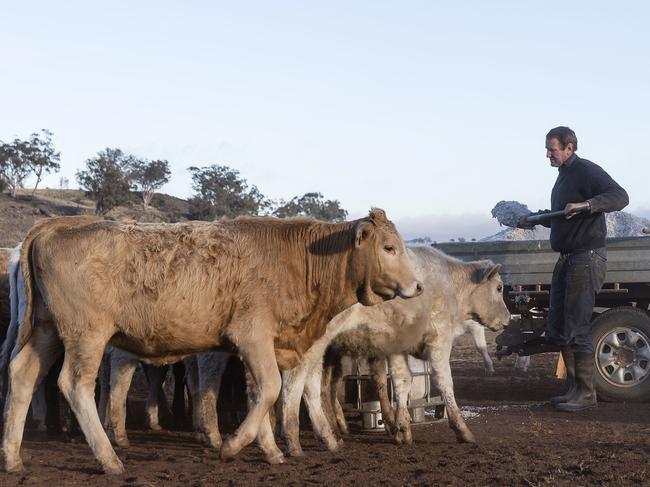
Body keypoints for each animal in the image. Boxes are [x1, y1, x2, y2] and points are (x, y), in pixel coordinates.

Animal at [1, 211, 420, 476]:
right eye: (388, 248)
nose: (417, 286)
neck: (295, 259)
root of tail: (56, 226)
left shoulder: (256, 346)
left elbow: (258, 394)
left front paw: (270, 451)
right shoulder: (252, 335)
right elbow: (270, 389)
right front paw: (231, 446)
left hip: (45, 330)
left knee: (22, 376)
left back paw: (12, 457)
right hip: (86, 334)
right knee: (75, 385)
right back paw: (109, 459)